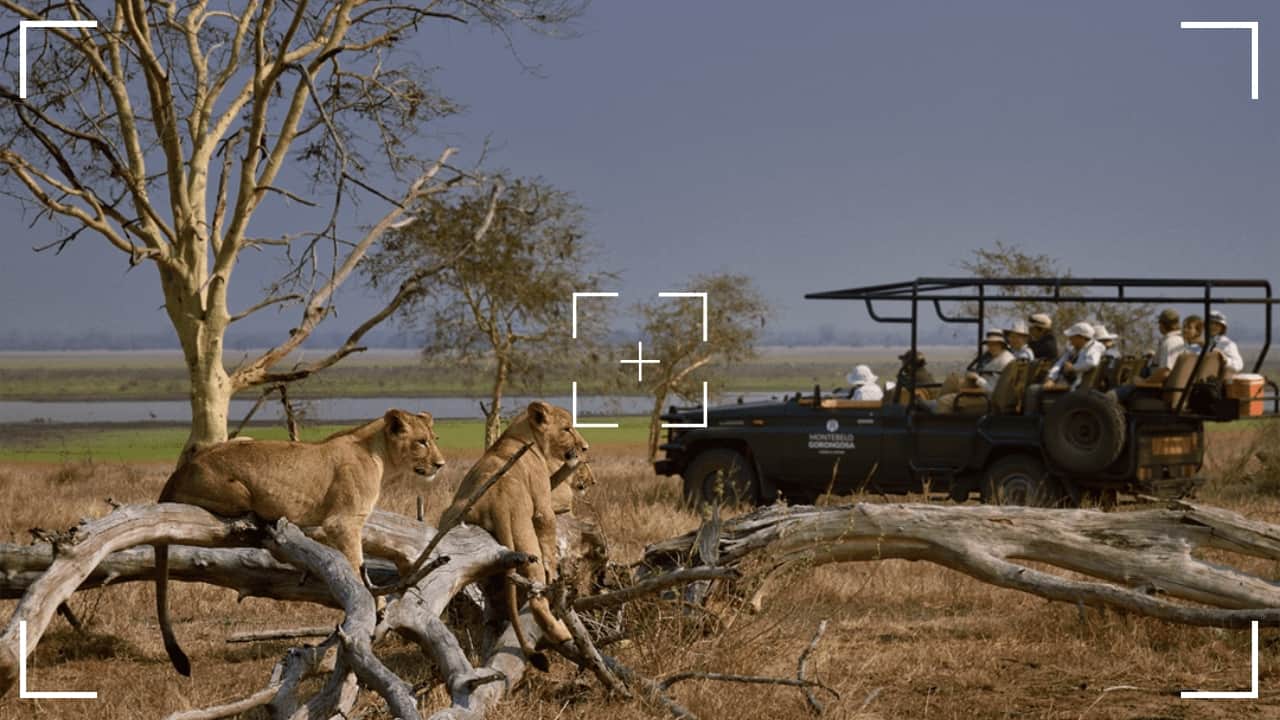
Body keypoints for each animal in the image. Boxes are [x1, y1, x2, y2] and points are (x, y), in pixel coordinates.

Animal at [156, 409, 445, 676]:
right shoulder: (343, 522)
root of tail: (180, 471)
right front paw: (378, 604)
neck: (380, 455)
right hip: (239, 492)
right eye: (421, 442)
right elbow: (356, 565)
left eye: (434, 439)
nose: (440, 464)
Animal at [438, 401, 588, 670]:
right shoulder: (542, 504)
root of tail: (497, 503)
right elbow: (549, 533)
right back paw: (561, 633)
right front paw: (554, 572)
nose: (584, 448)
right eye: (567, 428)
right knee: (536, 596)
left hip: (453, 516)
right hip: (526, 538)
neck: (521, 436)